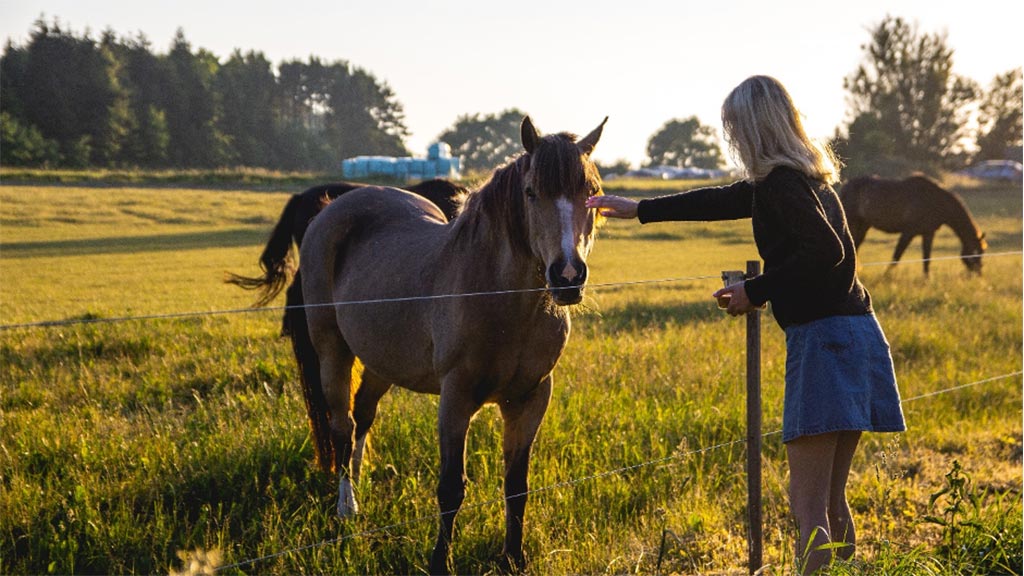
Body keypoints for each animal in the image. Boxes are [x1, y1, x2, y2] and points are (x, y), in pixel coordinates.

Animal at [299, 115, 606, 569]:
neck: (499, 299)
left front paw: (513, 559)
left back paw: (357, 483)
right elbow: (451, 488)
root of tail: (330, 208)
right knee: (342, 425)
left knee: (364, 415)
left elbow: (517, 485)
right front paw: (439, 563)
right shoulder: (456, 397)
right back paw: (346, 507)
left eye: (591, 191)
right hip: (331, 350)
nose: (567, 276)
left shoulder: (530, 398)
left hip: (382, 360)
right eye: (531, 192)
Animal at [839, 174, 983, 274]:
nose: (978, 274)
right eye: (977, 252)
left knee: (856, 246)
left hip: (863, 225)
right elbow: (897, 255)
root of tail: (845, 185)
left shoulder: (928, 233)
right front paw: (886, 277)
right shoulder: (908, 232)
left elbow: (927, 258)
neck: (935, 201)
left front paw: (927, 280)